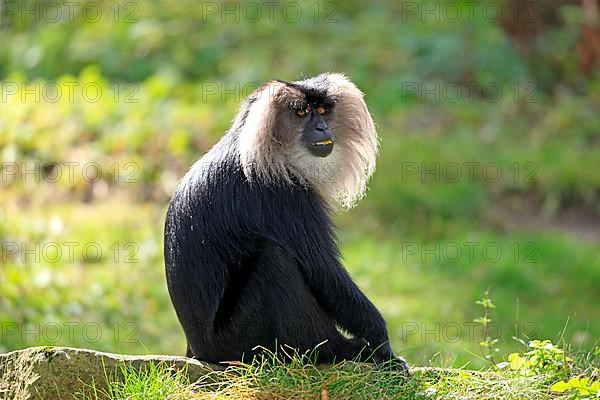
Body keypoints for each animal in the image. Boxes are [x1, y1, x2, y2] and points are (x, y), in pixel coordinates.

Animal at [163, 72, 408, 372]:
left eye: (322, 111)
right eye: (301, 113)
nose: (322, 128)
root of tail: (198, 351)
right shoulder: (284, 194)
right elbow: (322, 270)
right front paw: (382, 344)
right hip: (237, 342)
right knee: (274, 260)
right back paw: (339, 349)